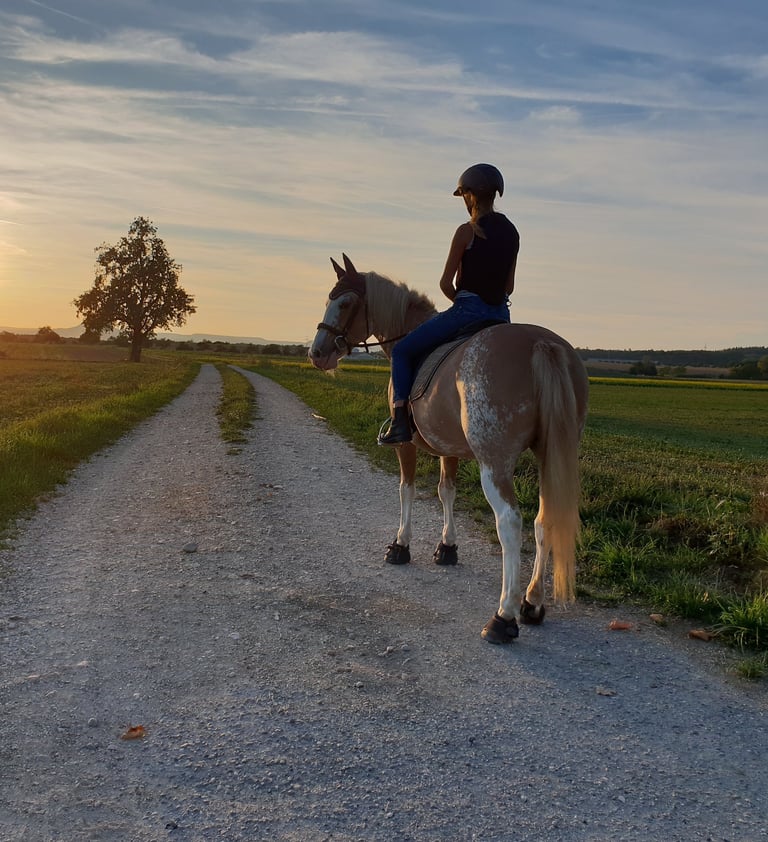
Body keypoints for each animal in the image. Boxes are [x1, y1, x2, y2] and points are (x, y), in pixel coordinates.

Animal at [309, 254, 589, 643]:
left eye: (346, 303)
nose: (316, 353)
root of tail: (540, 344)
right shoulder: (450, 447)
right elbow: (447, 491)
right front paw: (447, 548)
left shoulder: (406, 444)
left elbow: (407, 489)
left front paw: (401, 545)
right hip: (550, 455)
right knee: (543, 520)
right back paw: (531, 603)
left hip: (494, 462)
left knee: (510, 522)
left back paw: (503, 616)